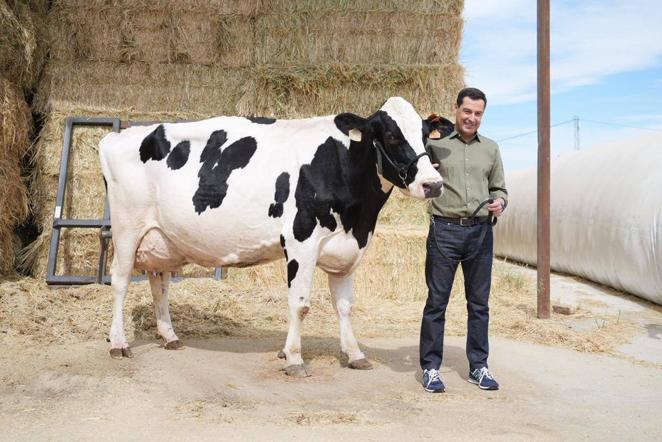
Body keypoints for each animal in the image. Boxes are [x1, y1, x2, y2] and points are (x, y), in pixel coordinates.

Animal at [99, 97, 452, 377]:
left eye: (425, 135)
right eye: (391, 136)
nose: (433, 184)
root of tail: (118, 135)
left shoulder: (347, 248)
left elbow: (344, 306)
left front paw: (354, 355)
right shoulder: (301, 242)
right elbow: (300, 305)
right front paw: (294, 358)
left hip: (162, 237)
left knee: (159, 283)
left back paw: (170, 337)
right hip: (127, 228)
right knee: (120, 281)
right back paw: (118, 343)